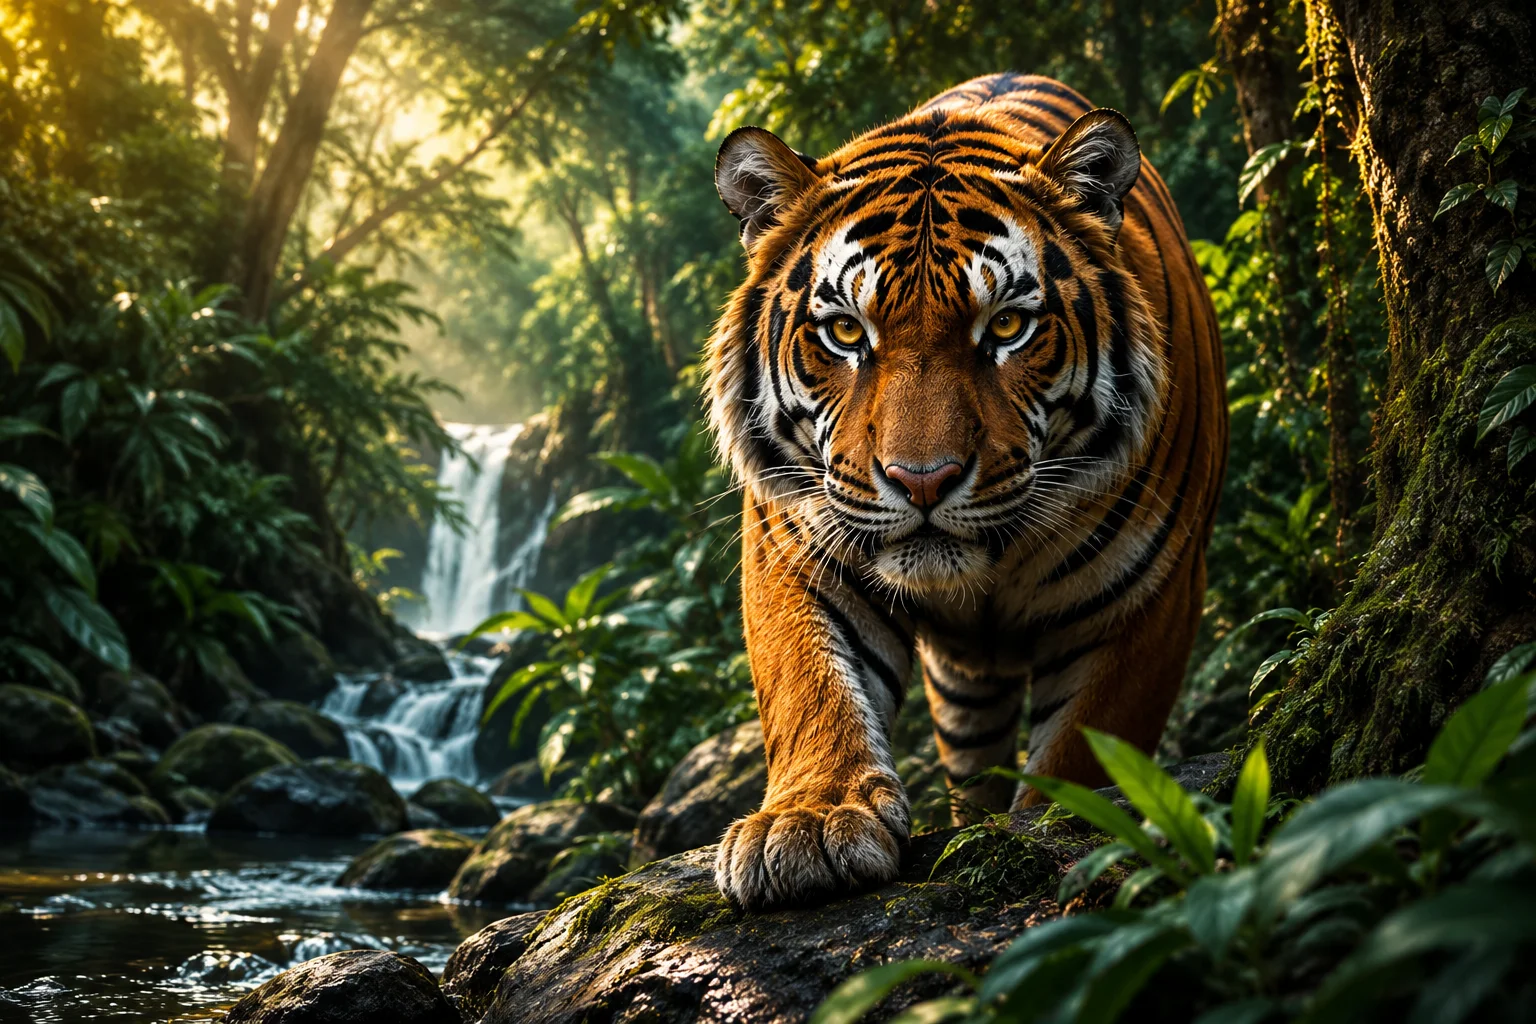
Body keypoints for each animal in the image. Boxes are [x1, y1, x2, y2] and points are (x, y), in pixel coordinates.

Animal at [704, 73, 1227, 910]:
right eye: (846, 334)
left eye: (1008, 327)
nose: (924, 480)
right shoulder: (797, 545)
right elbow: (810, 686)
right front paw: (810, 823)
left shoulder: (1154, 591)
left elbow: (1086, 746)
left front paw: (1065, 830)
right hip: (964, 693)